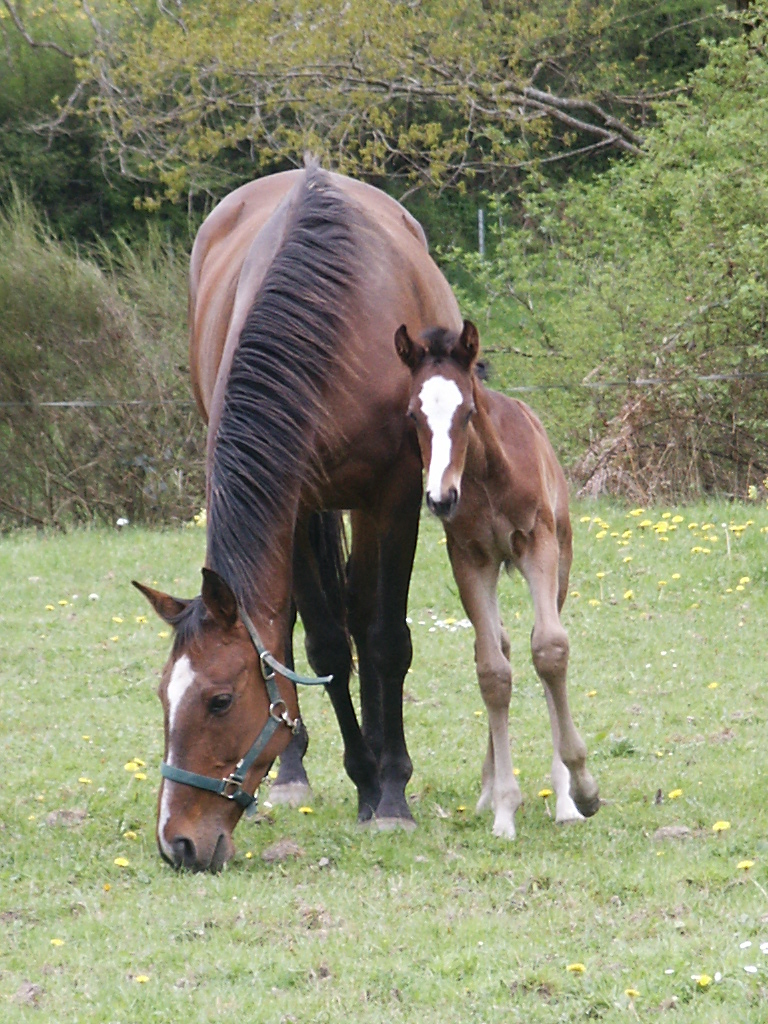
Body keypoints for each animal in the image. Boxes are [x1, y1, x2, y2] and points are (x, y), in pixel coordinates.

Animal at [132, 163, 462, 868]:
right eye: (163, 695)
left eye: (219, 701)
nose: (177, 843)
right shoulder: (298, 501)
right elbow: (325, 645)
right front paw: (362, 779)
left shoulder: (394, 497)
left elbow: (384, 639)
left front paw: (390, 797)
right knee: (297, 627)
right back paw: (294, 777)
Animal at [397, 321, 602, 839]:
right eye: (413, 415)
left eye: (468, 411)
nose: (441, 498)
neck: (487, 474)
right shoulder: (470, 559)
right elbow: (492, 672)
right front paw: (505, 806)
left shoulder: (538, 543)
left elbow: (550, 649)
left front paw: (582, 789)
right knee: (499, 646)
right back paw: (491, 790)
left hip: (561, 560)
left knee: (541, 647)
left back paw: (565, 797)